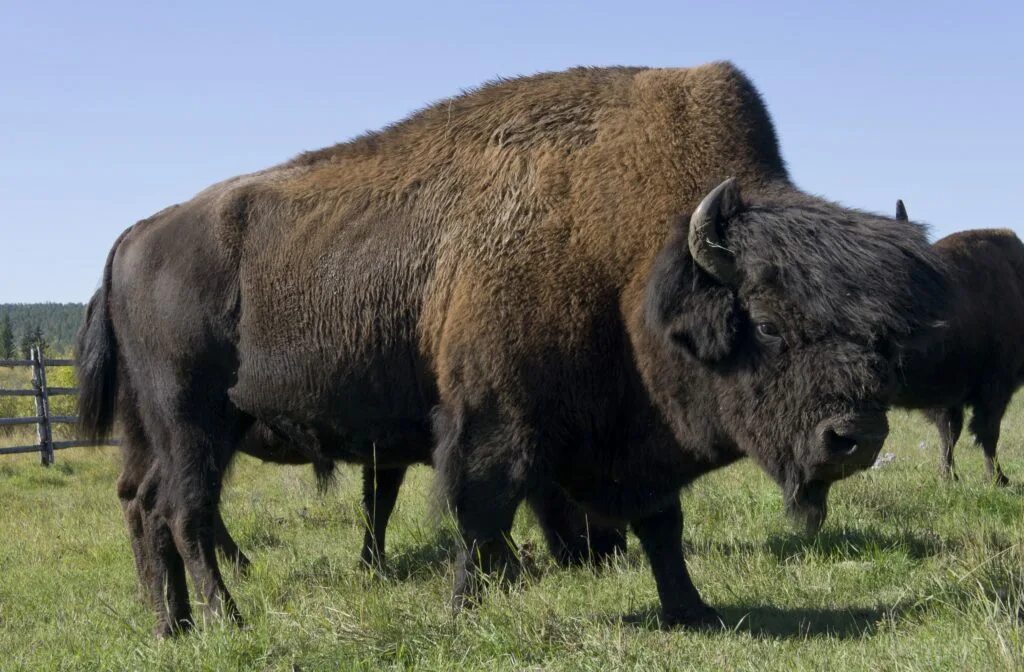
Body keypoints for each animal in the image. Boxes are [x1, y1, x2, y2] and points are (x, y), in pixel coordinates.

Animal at [75, 63, 946, 635]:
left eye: (879, 330)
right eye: (764, 323)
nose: (855, 437)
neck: (629, 255)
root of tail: (136, 237)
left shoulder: (631, 434)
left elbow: (659, 523)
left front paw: (692, 610)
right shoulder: (494, 420)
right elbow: (482, 514)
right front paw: (467, 612)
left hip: (156, 432)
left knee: (144, 508)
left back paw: (172, 624)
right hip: (194, 424)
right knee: (185, 514)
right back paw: (227, 619)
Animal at [888, 201, 1024, 485]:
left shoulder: (952, 396)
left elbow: (951, 433)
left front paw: (948, 476)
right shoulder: (995, 388)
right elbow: (987, 433)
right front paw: (998, 479)